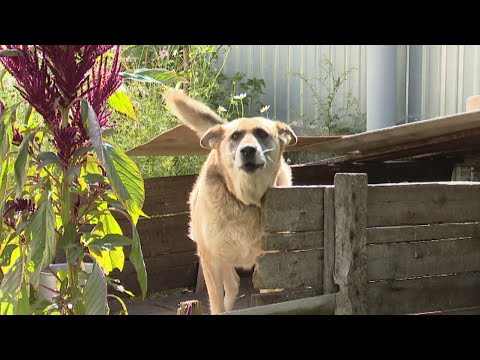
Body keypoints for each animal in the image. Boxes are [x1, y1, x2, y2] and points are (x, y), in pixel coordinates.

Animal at [164, 88, 296, 314]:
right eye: (236, 136)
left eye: (262, 134)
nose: (248, 150)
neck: (247, 201)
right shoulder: (212, 260)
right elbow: (218, 303)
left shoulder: (272, 259)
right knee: (232, 285)